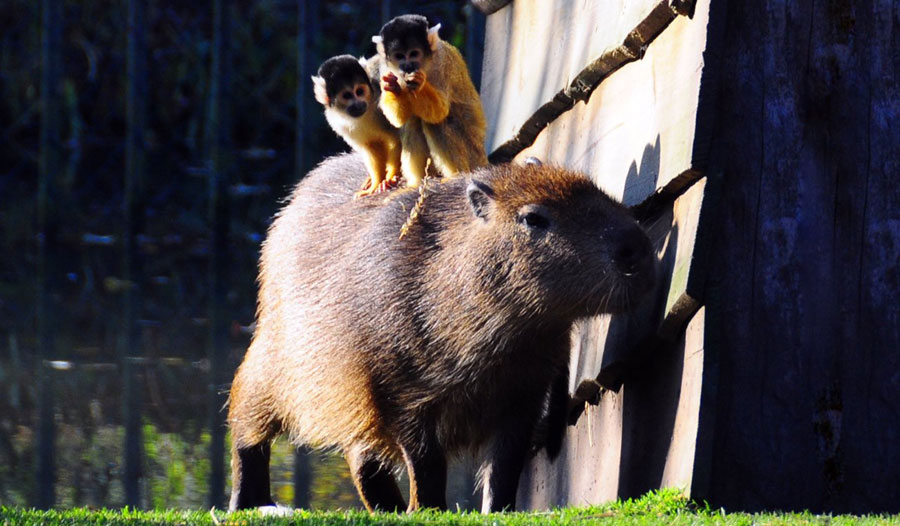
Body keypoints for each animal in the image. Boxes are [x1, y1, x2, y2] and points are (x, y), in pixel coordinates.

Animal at [314, 54, 402, 198]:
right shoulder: (338, 123)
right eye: (347, 95)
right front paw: (376, 183)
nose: (358, 104)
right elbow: (370, 147)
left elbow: (397, 138)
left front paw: (391, 177)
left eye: (359, 91)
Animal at [370, 14, 488, 189]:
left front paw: (420, 83)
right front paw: (393, 88)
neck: (426, 65)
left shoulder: (442, 63)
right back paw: (417, 182)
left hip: (474, 156)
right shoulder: (386, 69)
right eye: (399, 56)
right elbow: (398, 119)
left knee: (436, 122)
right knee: (412, 120)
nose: (407, 66)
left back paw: (456, 175)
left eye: (414, 53)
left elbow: (440, 112)